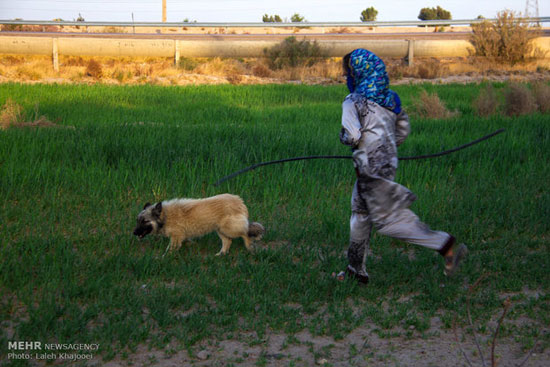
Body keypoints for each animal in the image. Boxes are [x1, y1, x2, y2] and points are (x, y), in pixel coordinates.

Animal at [133, 194, 264, 258]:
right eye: (138, 221)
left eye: (145, 221)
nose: (134, 233)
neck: (166, 216)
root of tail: (240, 202)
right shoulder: (180, 236)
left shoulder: (176, 237)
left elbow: (169, 250)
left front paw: (163, 258)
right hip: (220, 230)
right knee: (228, 242)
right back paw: (221, 254)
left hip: (229, 228)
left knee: (245, 233)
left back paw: (249, 246)